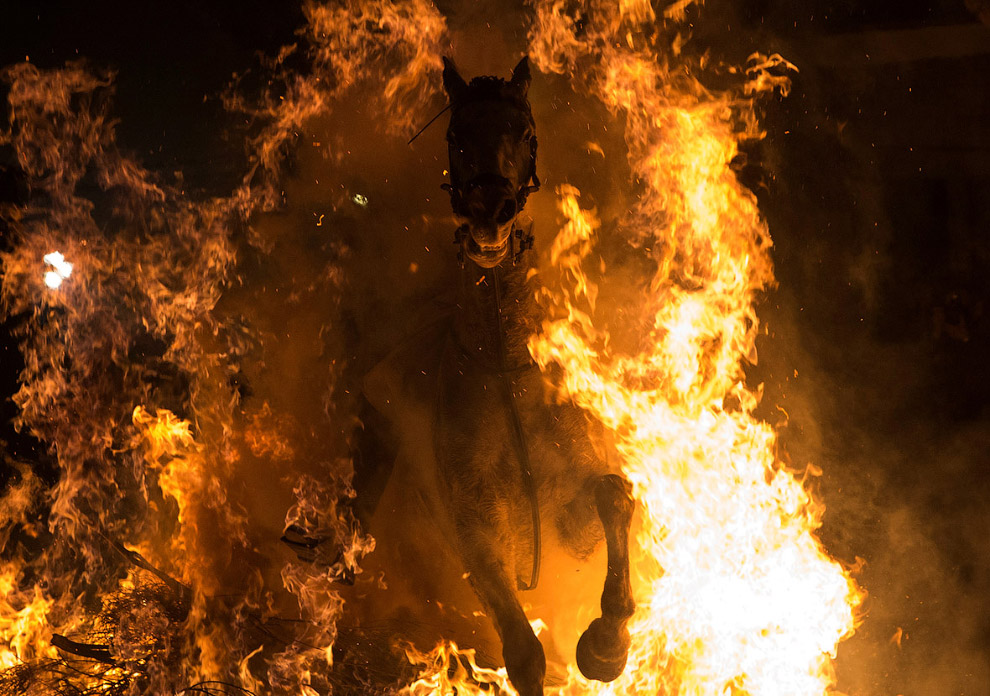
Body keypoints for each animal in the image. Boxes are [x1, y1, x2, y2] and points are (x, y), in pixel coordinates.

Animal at [360, 57, 640, 692]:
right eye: (455, 136)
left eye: (527, 133)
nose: (490, 213)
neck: (505, 372)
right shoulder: (475, 537)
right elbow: (524, 655)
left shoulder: (573, 519)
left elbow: (611, 495)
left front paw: (605, 647)